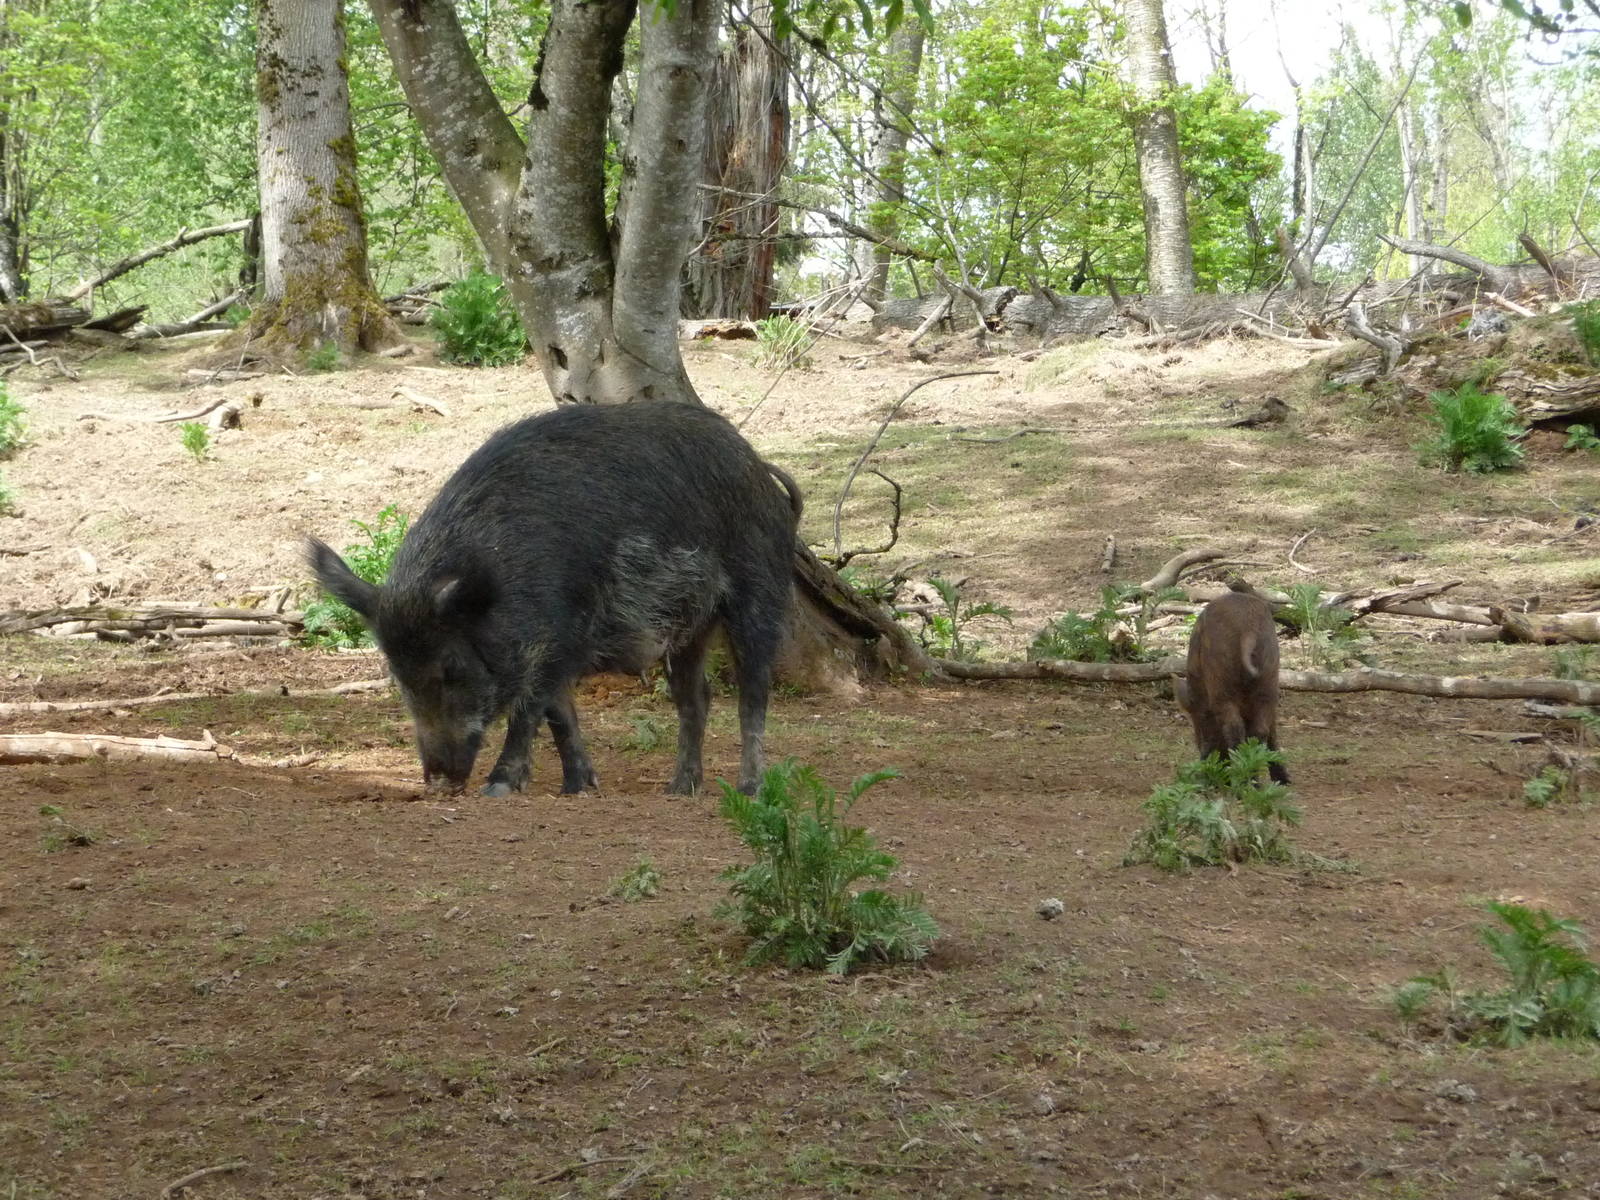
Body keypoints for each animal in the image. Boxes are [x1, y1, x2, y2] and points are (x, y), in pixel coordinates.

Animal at [307, 400, 802, 797]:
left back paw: (750, 789)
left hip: (757, 591)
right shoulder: (558, 645)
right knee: (695, 696)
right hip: (689, 626)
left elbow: (530, 709)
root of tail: (760, 470)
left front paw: (498, 788)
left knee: (752, 694)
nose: (439, 781)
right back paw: (679, 789)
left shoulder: (560, 632)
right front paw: (576, 788)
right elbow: (559, 714)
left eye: (451, 666)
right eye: (396, 673)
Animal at [1174, 588, 1289, 784]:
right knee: (1260, 730)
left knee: (1234, 727)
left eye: (1199, 719)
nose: (1203, 770)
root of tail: (1248, 629)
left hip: (1221, 680)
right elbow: (1272, 729)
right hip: (1270, 674)